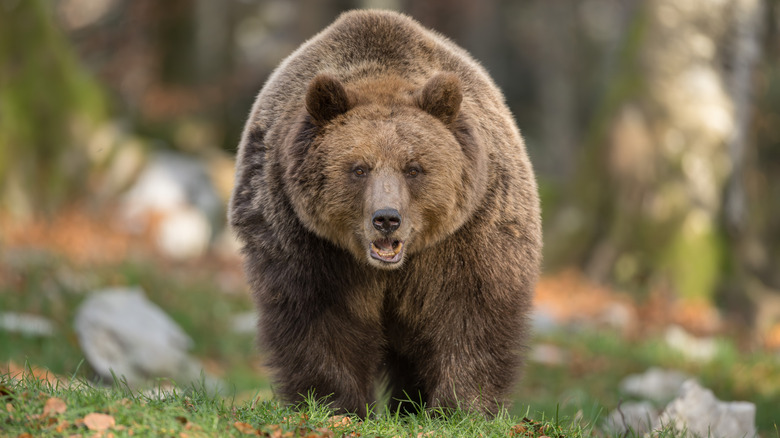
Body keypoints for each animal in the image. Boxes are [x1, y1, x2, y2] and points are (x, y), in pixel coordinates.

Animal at [229, 8, 540, 416]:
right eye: (359, 168)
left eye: (414, 168)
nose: (387, 219)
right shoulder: (306, 241)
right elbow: (319, 321)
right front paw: (335, 405)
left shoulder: (469, 232)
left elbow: (470, 316)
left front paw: (459, 407)